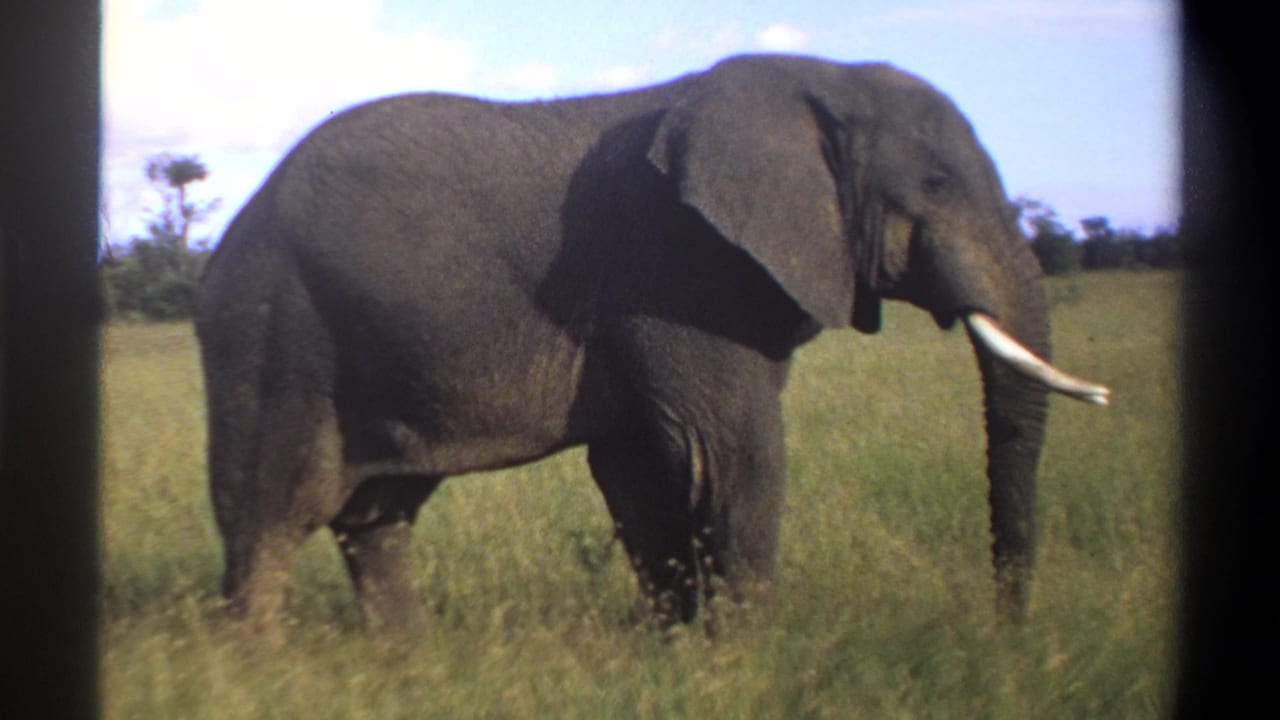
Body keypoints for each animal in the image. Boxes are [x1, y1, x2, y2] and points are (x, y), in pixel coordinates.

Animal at [196, 54, 1109, 643]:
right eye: (936, 187)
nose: (1008, 636)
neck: (817, 81)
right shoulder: (677, 269)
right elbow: (729, 454)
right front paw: (748, 663)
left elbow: (643, 470)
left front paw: (678, 653)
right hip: (274, 324)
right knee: (271, 512)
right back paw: (260, 672)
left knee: (377, 514)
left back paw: (407, 665)